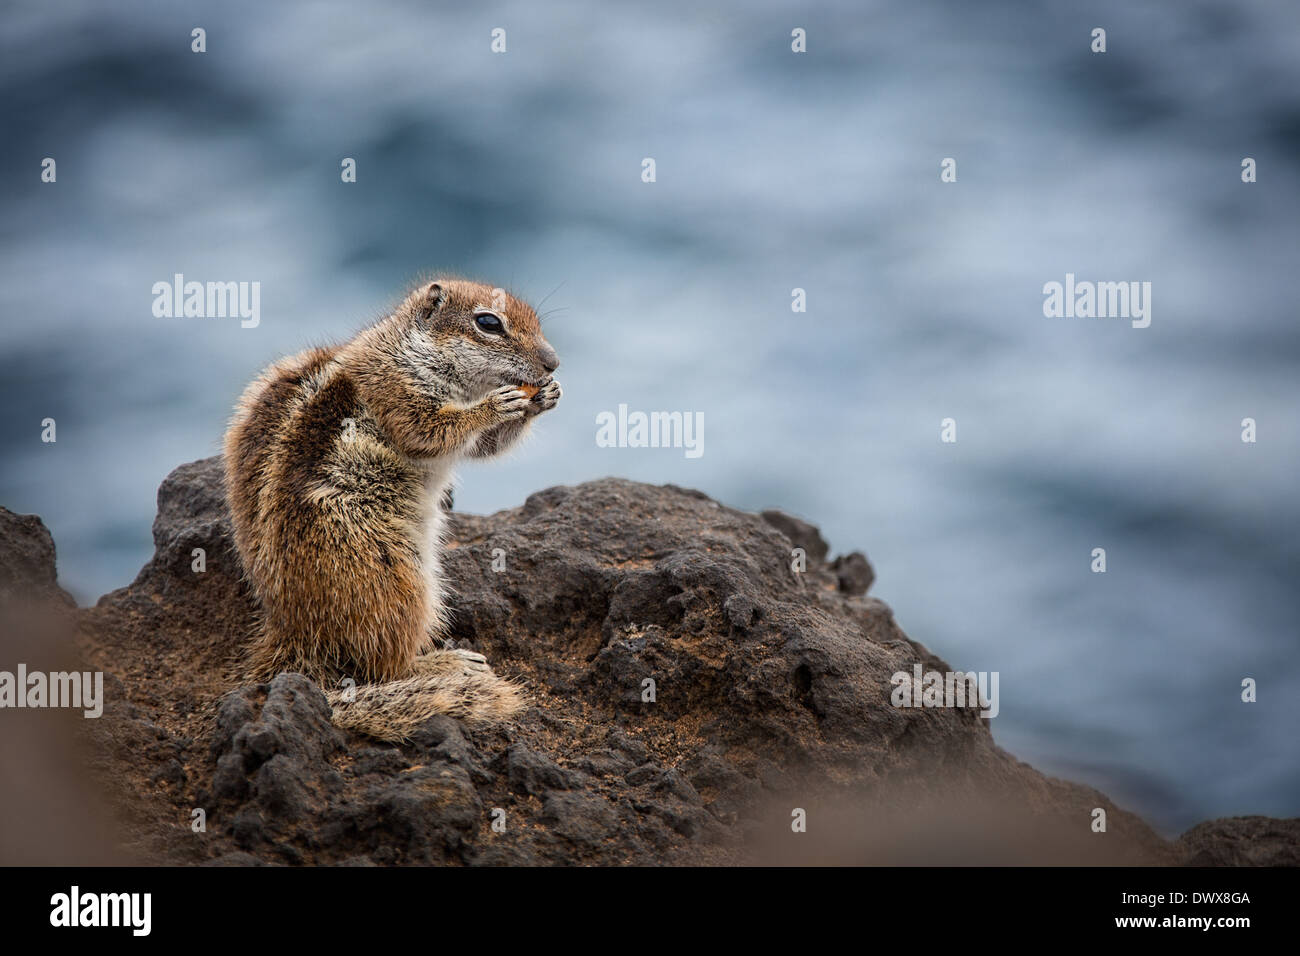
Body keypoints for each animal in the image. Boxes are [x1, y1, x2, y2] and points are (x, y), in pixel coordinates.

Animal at [219, 277, 564, 738]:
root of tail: (295, 629)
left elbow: (485, 446)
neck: (409, 346)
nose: (553, 363)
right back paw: (449, 663)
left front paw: (546, 397)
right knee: (385, 666)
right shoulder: (394, 389)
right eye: (489, 323)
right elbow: (429, 430)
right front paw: (494, 407)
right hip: (393, 577)